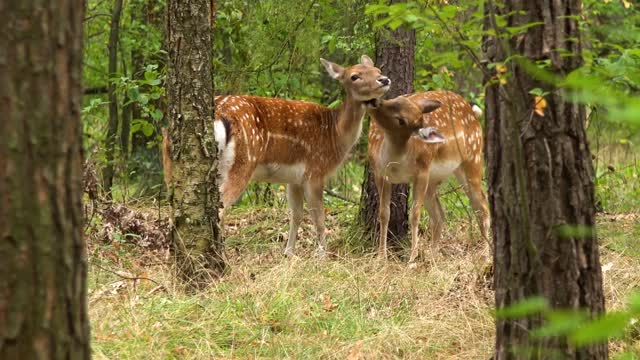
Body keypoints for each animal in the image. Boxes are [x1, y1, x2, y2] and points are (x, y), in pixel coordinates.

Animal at [164, 54, 390, 258]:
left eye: (376, 70)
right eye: (354, 76)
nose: (385, 79)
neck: (335, 134)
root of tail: (219, 114)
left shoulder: (294, 179)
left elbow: (296, 214)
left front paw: (289, 253)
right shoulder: (315, 171)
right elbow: (318, 218)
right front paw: (322, 256)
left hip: (172, 165)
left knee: (175, 213)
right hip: (242, 163)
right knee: (218, 211)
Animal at [364, 90, 490, 262]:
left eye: (401, 120)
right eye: (396, 99)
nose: (376, 102)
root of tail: (474, 114)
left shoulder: (421, 171)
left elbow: (414, 214)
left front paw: (412, 260)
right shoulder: (379, 174)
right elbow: (384, 213)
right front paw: (381, 257)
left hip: (473, 158)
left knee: (482, 206)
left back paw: (485, 254)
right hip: (434, 178)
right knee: (439, 214)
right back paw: (433, 256)